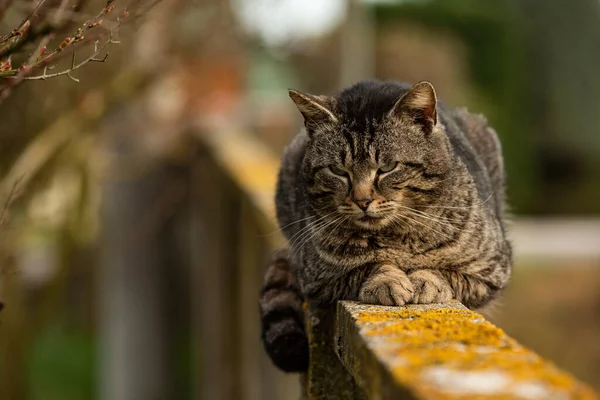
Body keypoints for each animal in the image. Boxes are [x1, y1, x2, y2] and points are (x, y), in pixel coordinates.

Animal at [258, 80, 510, 372]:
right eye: (338, 171)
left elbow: (445, 271)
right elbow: (369, 265)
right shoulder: (317, 279)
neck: (398, 237)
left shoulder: (492, 271)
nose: (362, 200)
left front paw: (426, 281)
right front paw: (387, 279)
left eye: (387, 167)